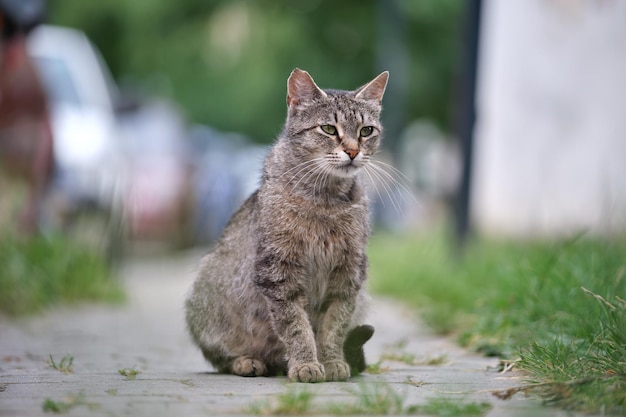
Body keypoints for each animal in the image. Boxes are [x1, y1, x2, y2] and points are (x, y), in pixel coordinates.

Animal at [183, 66, 386, 382]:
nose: (353, 151)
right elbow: (296, 326)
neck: (326, 199)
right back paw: (248, 362)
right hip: (205, 299)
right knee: (219, 358)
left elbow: (334, 326)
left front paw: (331, 361)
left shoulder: (348, 274)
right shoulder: (278, 270)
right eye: (329, 129)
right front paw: (305, 364)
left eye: (366, 131)